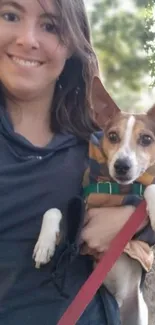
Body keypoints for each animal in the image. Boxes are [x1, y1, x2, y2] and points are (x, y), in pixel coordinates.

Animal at [32, 76, 155, 324]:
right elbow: (53, 210)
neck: (116, 188)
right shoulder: (77, 231)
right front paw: (44, 245)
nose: (122, 166)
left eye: (147, 139)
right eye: (112, 136)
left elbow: (151, 189)